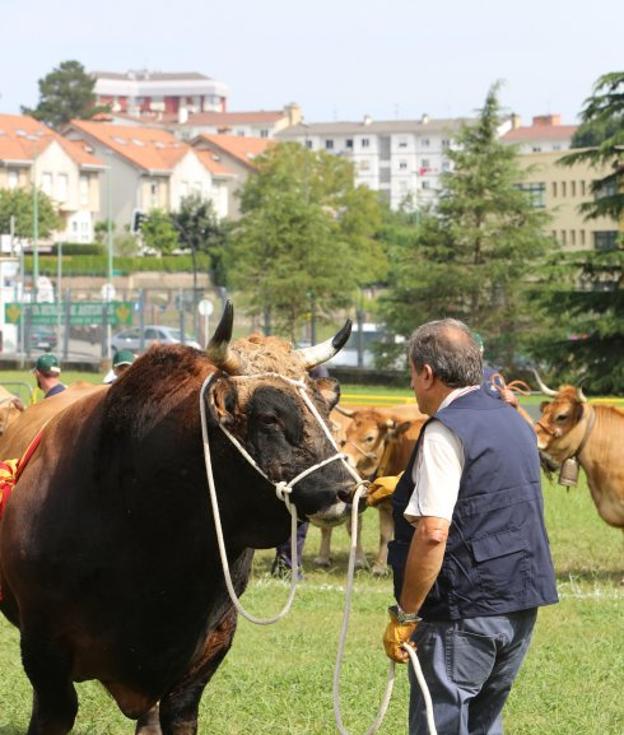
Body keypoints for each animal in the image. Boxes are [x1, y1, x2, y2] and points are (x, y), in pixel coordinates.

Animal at [0, 304, 356, 735]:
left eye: (324, 407)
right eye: (269, 417)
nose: (346, 489)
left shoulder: (210, 647)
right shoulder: (44, 649)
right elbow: (54, 710)